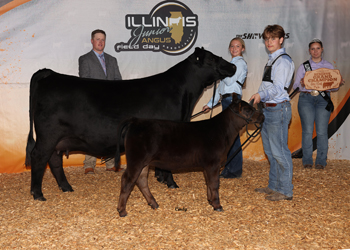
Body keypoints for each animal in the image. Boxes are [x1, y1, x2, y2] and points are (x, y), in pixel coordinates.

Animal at [26, 47, 237, 201]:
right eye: (212, 59)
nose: (233, 67)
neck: (183, 95)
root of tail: (49, 74)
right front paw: (171, 182)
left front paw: (160, 178)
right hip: (48, 135)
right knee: (39, 157)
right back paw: (38, 194)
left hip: (57, 139)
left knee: (54, 160)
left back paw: (66, 187)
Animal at [115, 94, 266, 217]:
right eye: (248, 110)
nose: (262, 116)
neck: (223, 131)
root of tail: (136, 121)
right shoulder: (213, 163)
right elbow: (214, 183)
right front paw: (217, 205)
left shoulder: (207, 165)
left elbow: (209, 183)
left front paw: (210, 201)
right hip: (136, 159)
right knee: (127, 180)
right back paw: (122, 211)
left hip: (144, 162)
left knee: (141, 181)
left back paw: (154, 204)